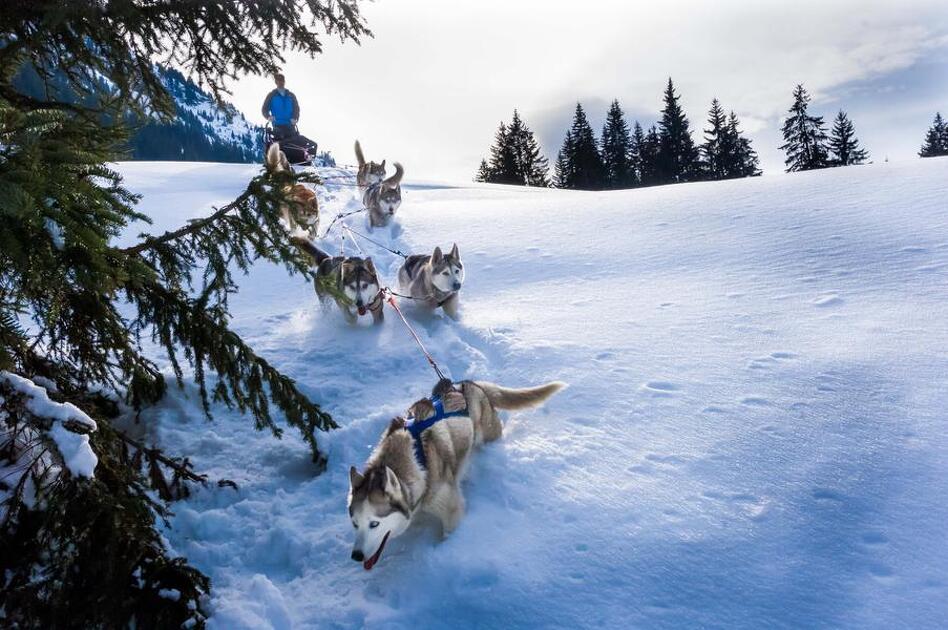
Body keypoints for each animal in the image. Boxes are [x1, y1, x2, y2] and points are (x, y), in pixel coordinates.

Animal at [350, 380, 568, 572]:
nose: (356, 556)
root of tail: (471, 384)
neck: (413, 460)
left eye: (374, 523)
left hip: (489, 437)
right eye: (355, 524)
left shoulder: (450, 509)